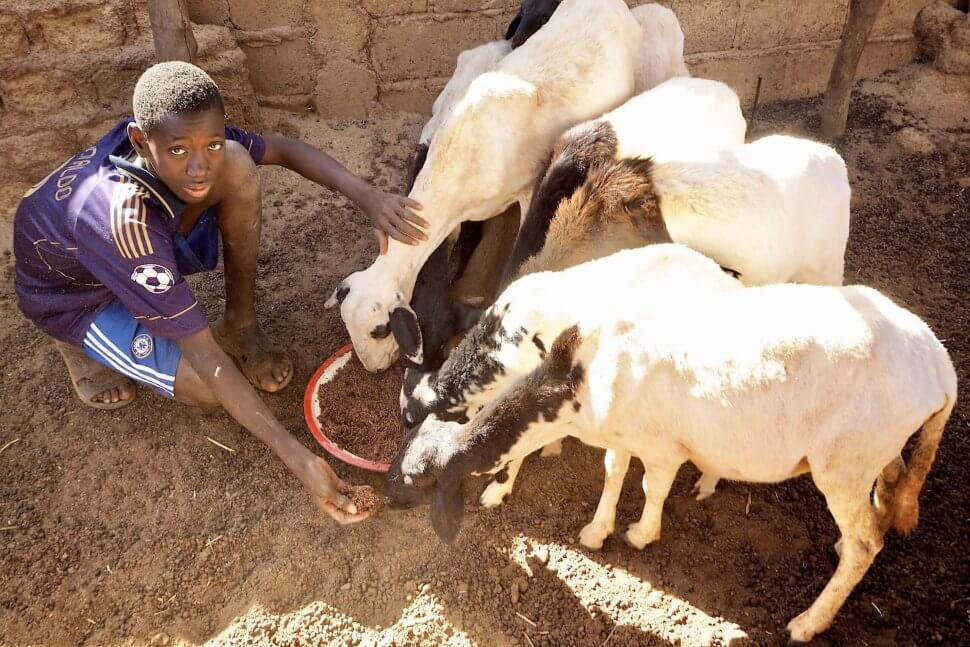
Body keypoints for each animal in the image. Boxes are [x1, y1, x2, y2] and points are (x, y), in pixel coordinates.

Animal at [386, 254, 956, 644]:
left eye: (416, 476)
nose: (386, 495)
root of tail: (940, 368)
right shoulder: (621, 434)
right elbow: (614, 472)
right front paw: (597, 530)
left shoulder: (659, 446)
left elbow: (649, 485)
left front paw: (639, 533)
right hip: (872, 453)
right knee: (888, 484)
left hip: (843, 462)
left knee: (866, 544)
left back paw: (809, 620)